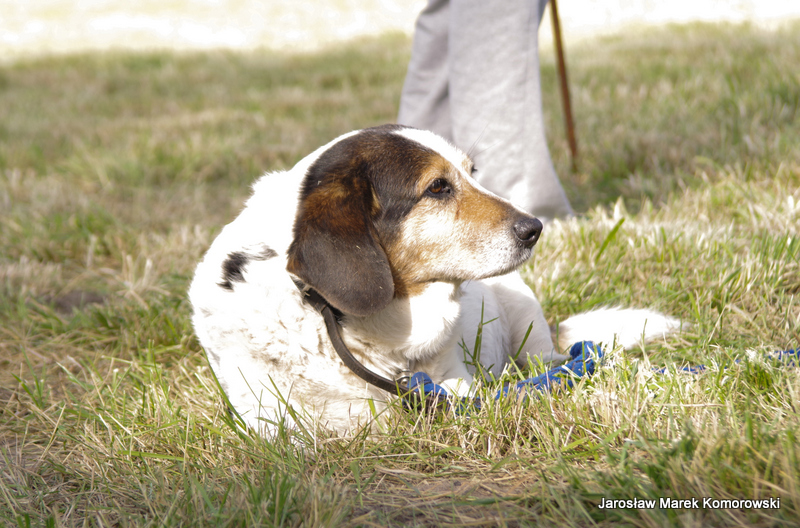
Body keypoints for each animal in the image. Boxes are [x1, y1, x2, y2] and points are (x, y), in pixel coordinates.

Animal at [189, 124, 679, 436]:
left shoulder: (455, 382)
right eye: (438, 187)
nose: (535, 227)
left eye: (472, 172)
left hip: (527, 319)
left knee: (552, 360)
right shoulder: (267, 420)